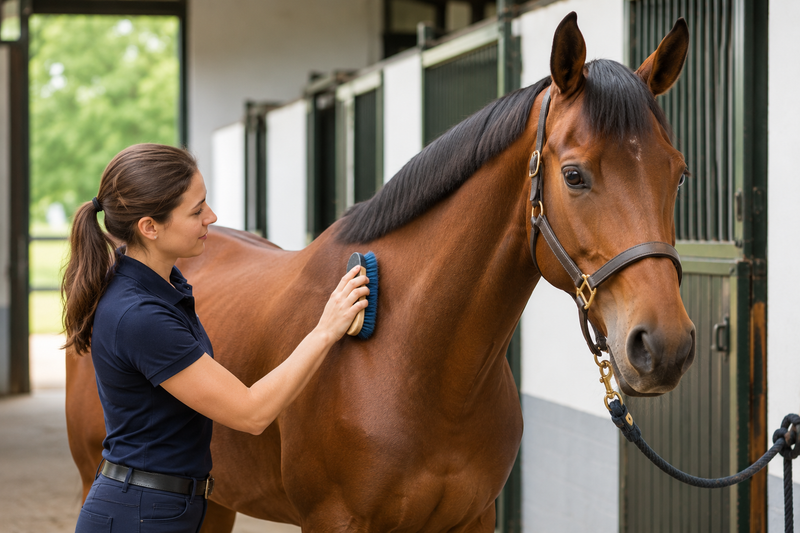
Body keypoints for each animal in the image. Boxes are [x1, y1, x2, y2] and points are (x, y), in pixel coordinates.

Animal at [66, 12, 695, 532]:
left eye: (679, 173)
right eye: (574, 176)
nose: (664, 346)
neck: (416, 360)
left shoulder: (473, 519)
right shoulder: (334, 521)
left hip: (217, 500)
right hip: (95, 476)